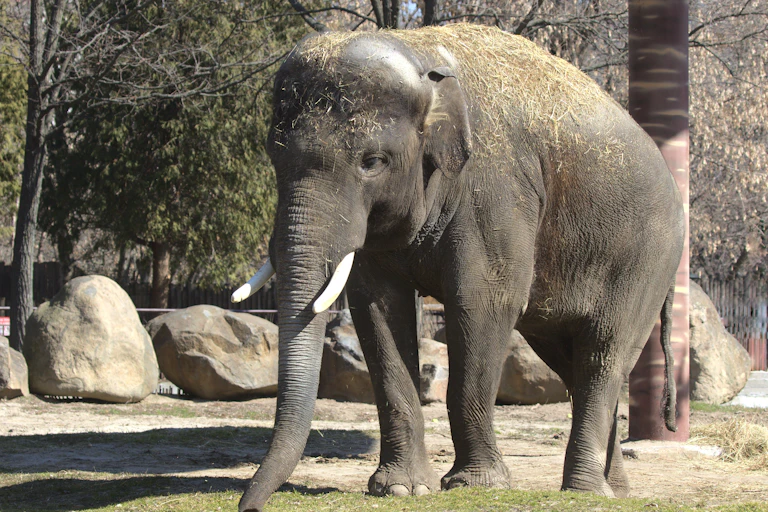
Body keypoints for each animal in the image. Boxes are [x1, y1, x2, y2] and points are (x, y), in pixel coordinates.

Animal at [232, 23, 685, 512]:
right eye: (274, 157)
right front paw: (400, 488)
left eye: (372, 162)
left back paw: (583, 491)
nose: (248, 505)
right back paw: (613, 490)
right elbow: (377, 307)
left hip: (646, 260)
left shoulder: (495, 189)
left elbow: (483, 300)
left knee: (603, 354)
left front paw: (477, 484)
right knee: (575, 364)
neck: (420, 53)